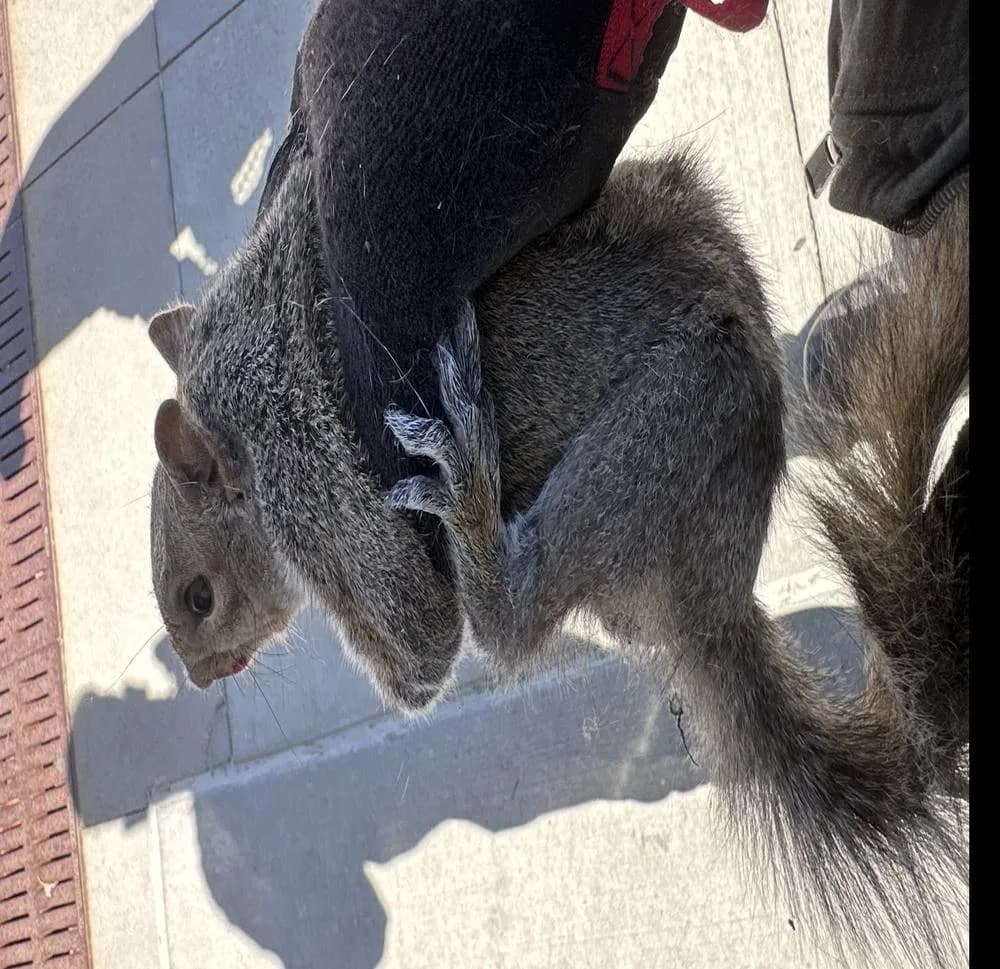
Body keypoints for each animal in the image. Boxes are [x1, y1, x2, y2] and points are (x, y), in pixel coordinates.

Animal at [148, 143, 967, 967]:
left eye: (198, 596)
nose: (200, 675)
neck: (232, 425)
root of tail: (713, 603)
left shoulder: (306, 480)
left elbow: (419, 646)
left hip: (687, 405)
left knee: (509, 624)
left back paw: (472, 500)